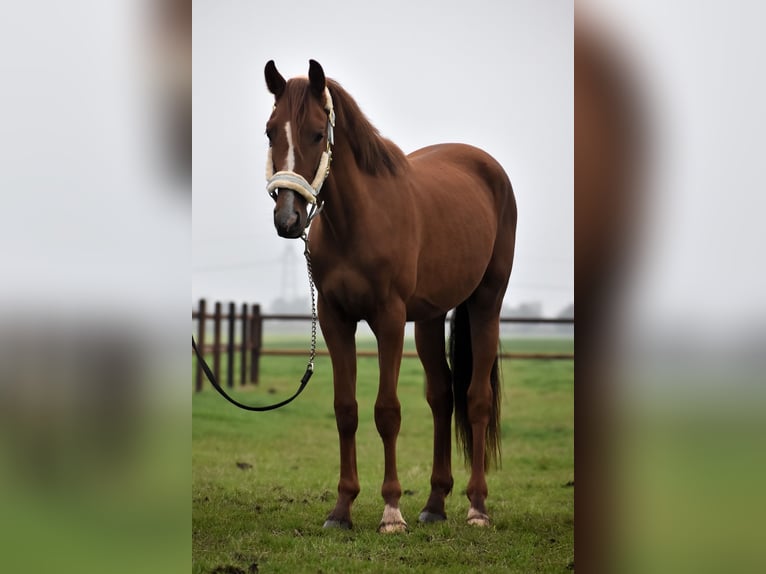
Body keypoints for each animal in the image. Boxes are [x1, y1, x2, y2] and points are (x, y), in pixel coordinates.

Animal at [262, 60, 516, 532]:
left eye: (316, 133)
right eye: (271, 132)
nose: (288, 219)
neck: (358, 221)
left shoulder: (390, 319)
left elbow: (387, 411)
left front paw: (391, 510)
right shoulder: (335, 319)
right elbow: (346, 409)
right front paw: (341, 510)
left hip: (485, 304)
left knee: (475, 399)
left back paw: (476, 506)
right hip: (431, 318)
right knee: (442, 396)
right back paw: (434, 504)